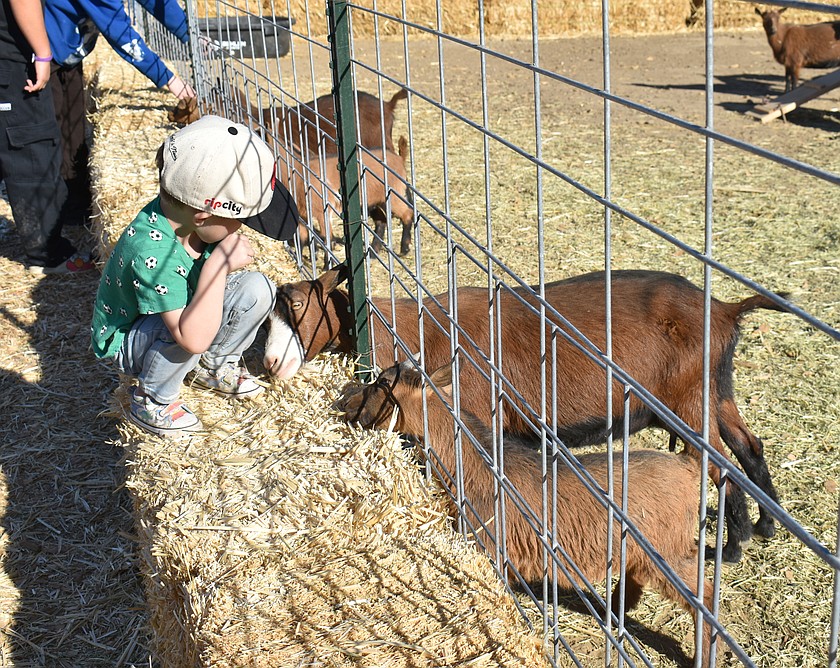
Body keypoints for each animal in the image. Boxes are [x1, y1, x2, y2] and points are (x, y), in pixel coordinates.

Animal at [263, 266, 788, 564]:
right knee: (749, 446)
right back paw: (763, 527)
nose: (268, 363)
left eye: (295, 303)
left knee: (720, 463)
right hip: (715, 393)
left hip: (691, 404)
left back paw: (733, 545)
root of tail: (725, 309)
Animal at [336, 360, 715, 667]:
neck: (476, 462)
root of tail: (688, 466)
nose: (344, 398)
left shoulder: (490, 544)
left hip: (670, 553)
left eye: (383, 384)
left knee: (705, 597)